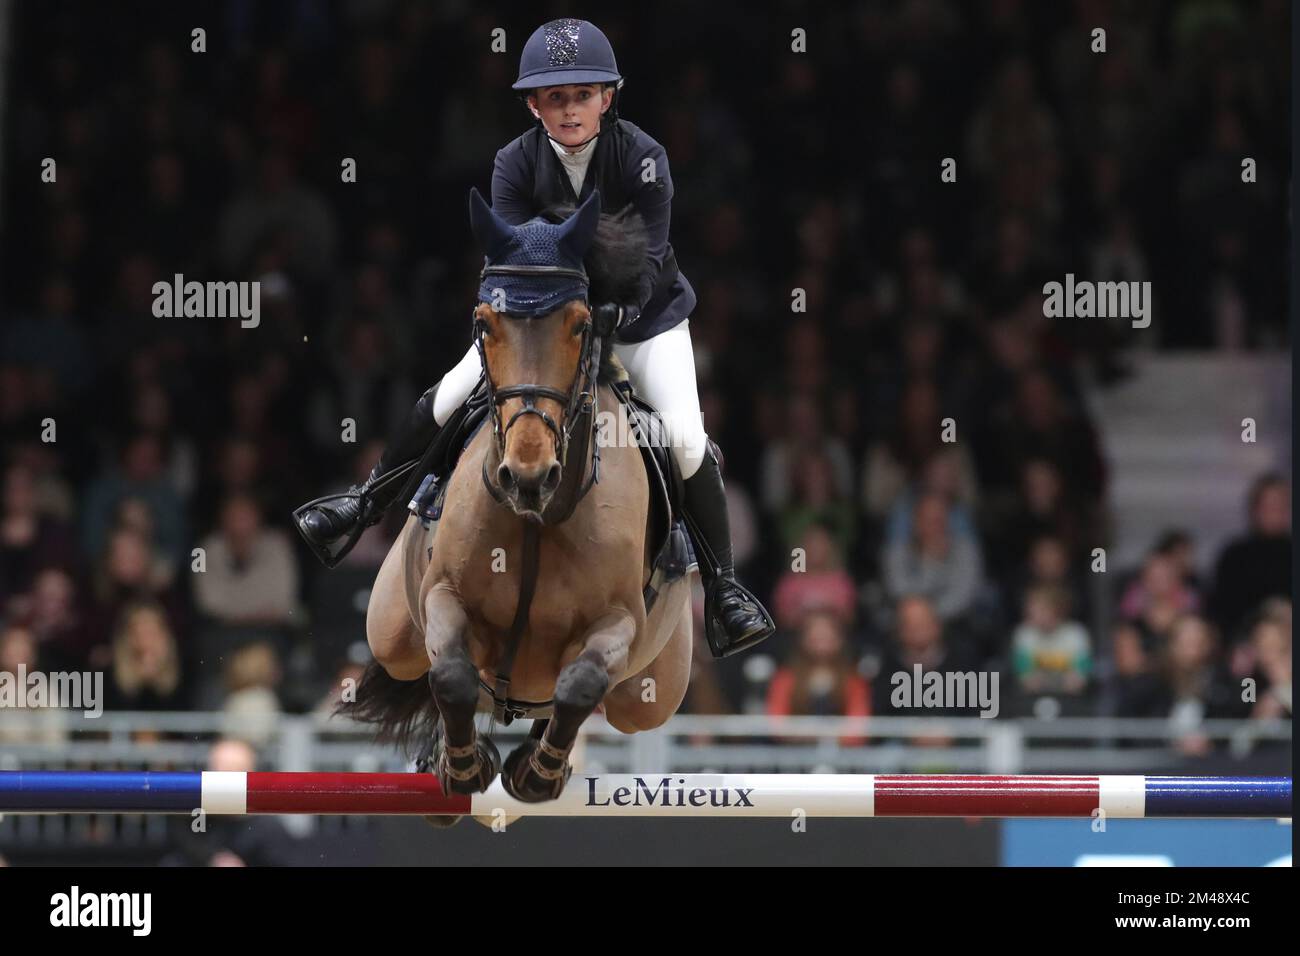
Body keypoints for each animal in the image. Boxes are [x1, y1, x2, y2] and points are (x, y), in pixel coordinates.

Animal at [340, 184, 696, 806]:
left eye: (580, 324)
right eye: (484, 323)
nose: (528, 477)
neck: (539, 520)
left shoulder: (619, 621)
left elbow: (581, 682)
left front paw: (537, 772)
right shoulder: (444, 595)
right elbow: (451, 674)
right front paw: (463, 766)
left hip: (651, 693)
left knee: (599, 702)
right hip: (390, 630)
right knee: (419, 663)